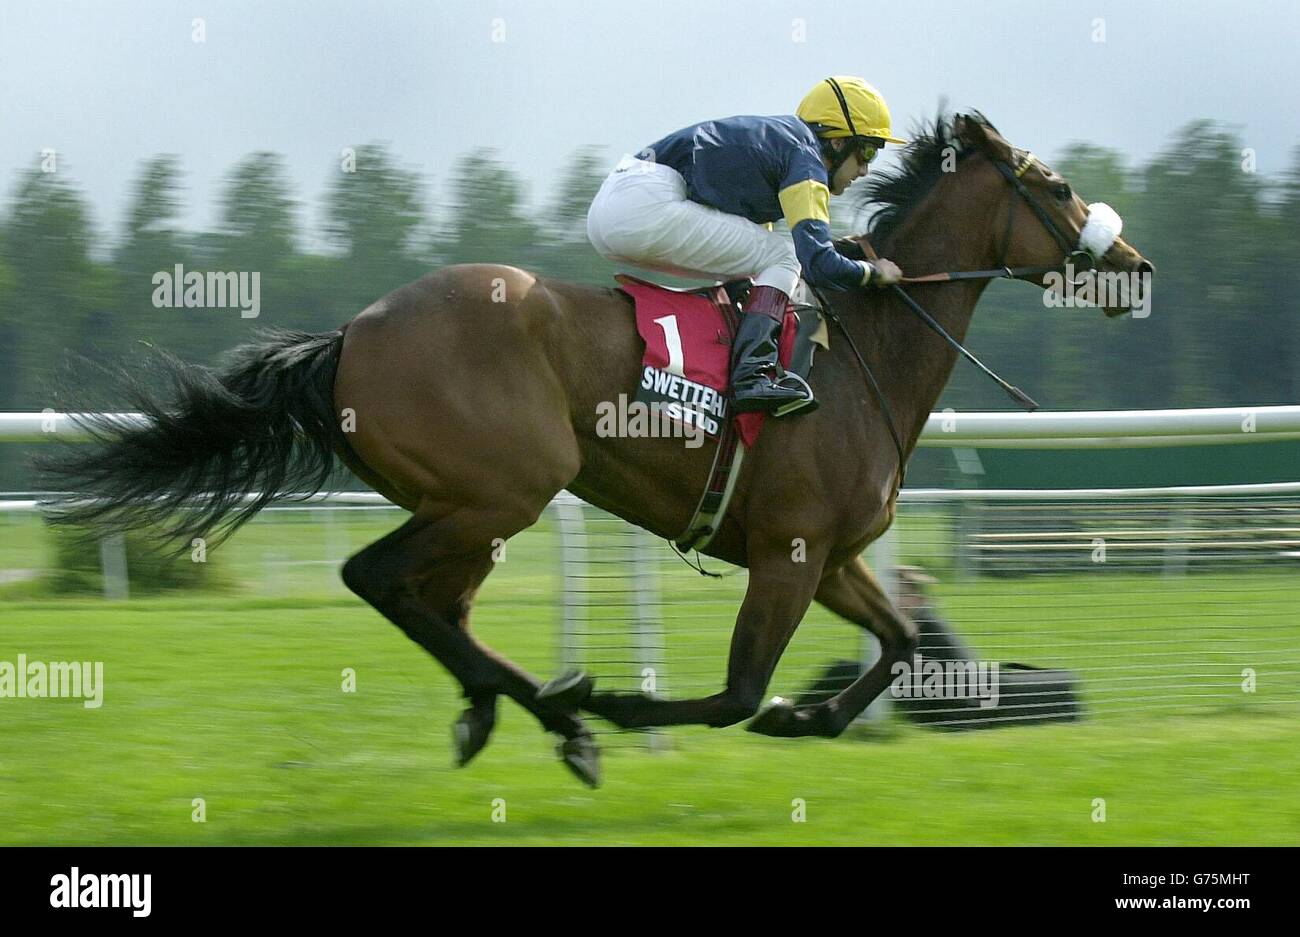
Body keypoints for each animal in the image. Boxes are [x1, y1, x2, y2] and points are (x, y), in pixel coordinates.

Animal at [43, 109, 1159, 784]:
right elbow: (737, 690)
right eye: (1059, 186)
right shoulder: (789, 552)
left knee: (433, 602)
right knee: (380, 578)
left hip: (473, 507)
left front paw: (805, 718)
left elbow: (896, 647)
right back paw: (563, 709)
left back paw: (522, 711)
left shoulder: (829, 555)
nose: (1136, 269)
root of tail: (352, 335)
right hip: (504, 489)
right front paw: (633, 702)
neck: (865, 348)